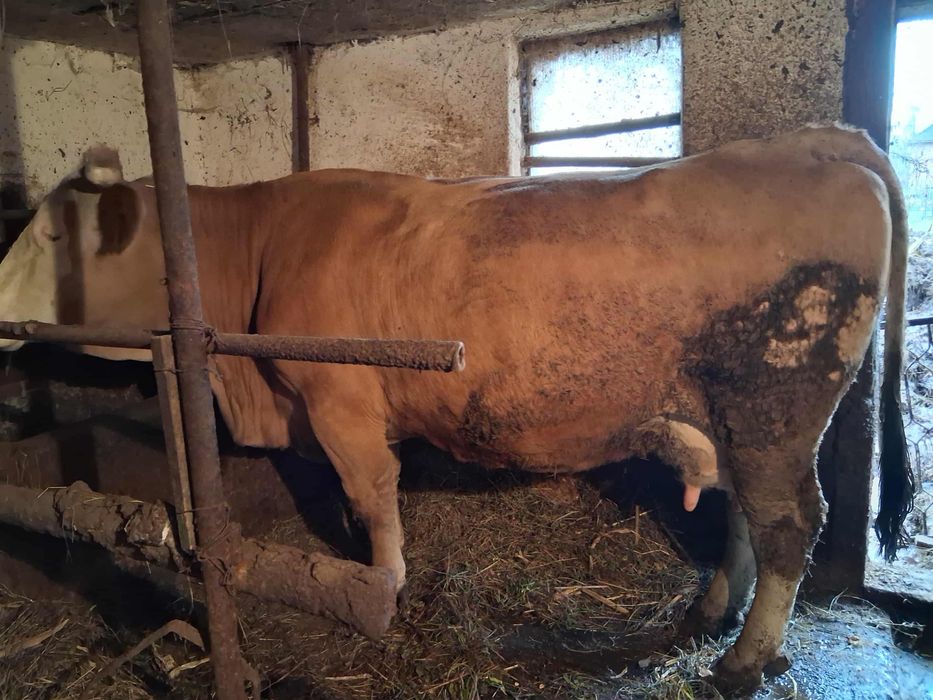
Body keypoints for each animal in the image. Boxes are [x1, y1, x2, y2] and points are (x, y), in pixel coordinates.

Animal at [0, 124, 912, 694]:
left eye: (50, 237)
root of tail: (807, 139)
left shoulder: (339, 401)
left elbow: (373, 496)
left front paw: (383, 583)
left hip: (775, 403)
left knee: (788, 523)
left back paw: (743, 662)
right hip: (732, 417)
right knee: (746, 519)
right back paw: (712, 610)